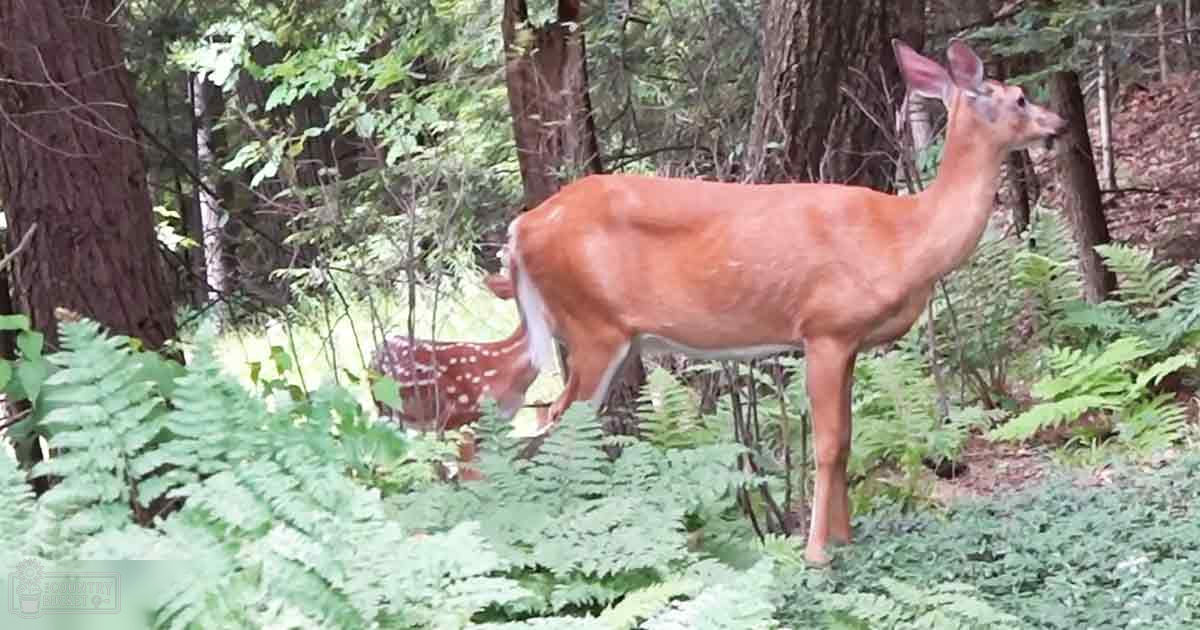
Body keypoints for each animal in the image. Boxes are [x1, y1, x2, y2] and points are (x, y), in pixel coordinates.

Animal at [494, 39, 1066, 564]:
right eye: (1018, 97)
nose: (1058, 124)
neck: (903, 238)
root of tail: (520, 229)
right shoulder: (825, 327)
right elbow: (828, 444)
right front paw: (816, 553)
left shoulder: (850, 340)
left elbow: (847, 438)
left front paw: (845, 539)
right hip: (592, 325)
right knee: (550, 424)